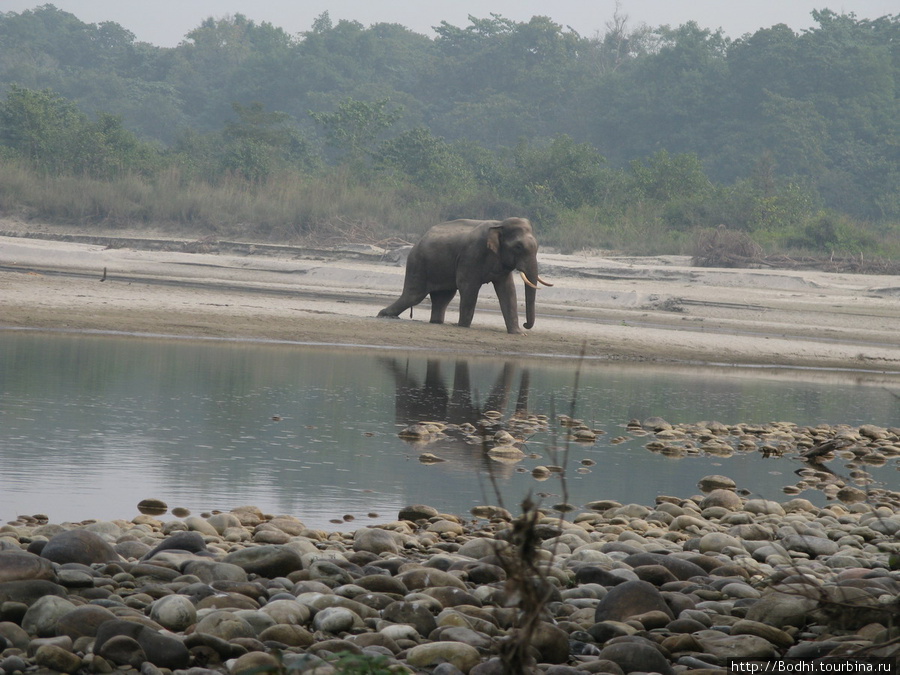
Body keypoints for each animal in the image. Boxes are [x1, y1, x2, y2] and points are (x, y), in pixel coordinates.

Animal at [378, 218, 552, 334]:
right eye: (518, 247)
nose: (525, 324)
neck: (500, 223)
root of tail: (420, 239)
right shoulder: (471, 254)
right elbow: (468, 285)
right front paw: (463, 326)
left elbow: (507, 290)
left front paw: (517, 333)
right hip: (418, 262)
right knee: (414, 295)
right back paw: (383, 315)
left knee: (443, 297)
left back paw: (436, 322)